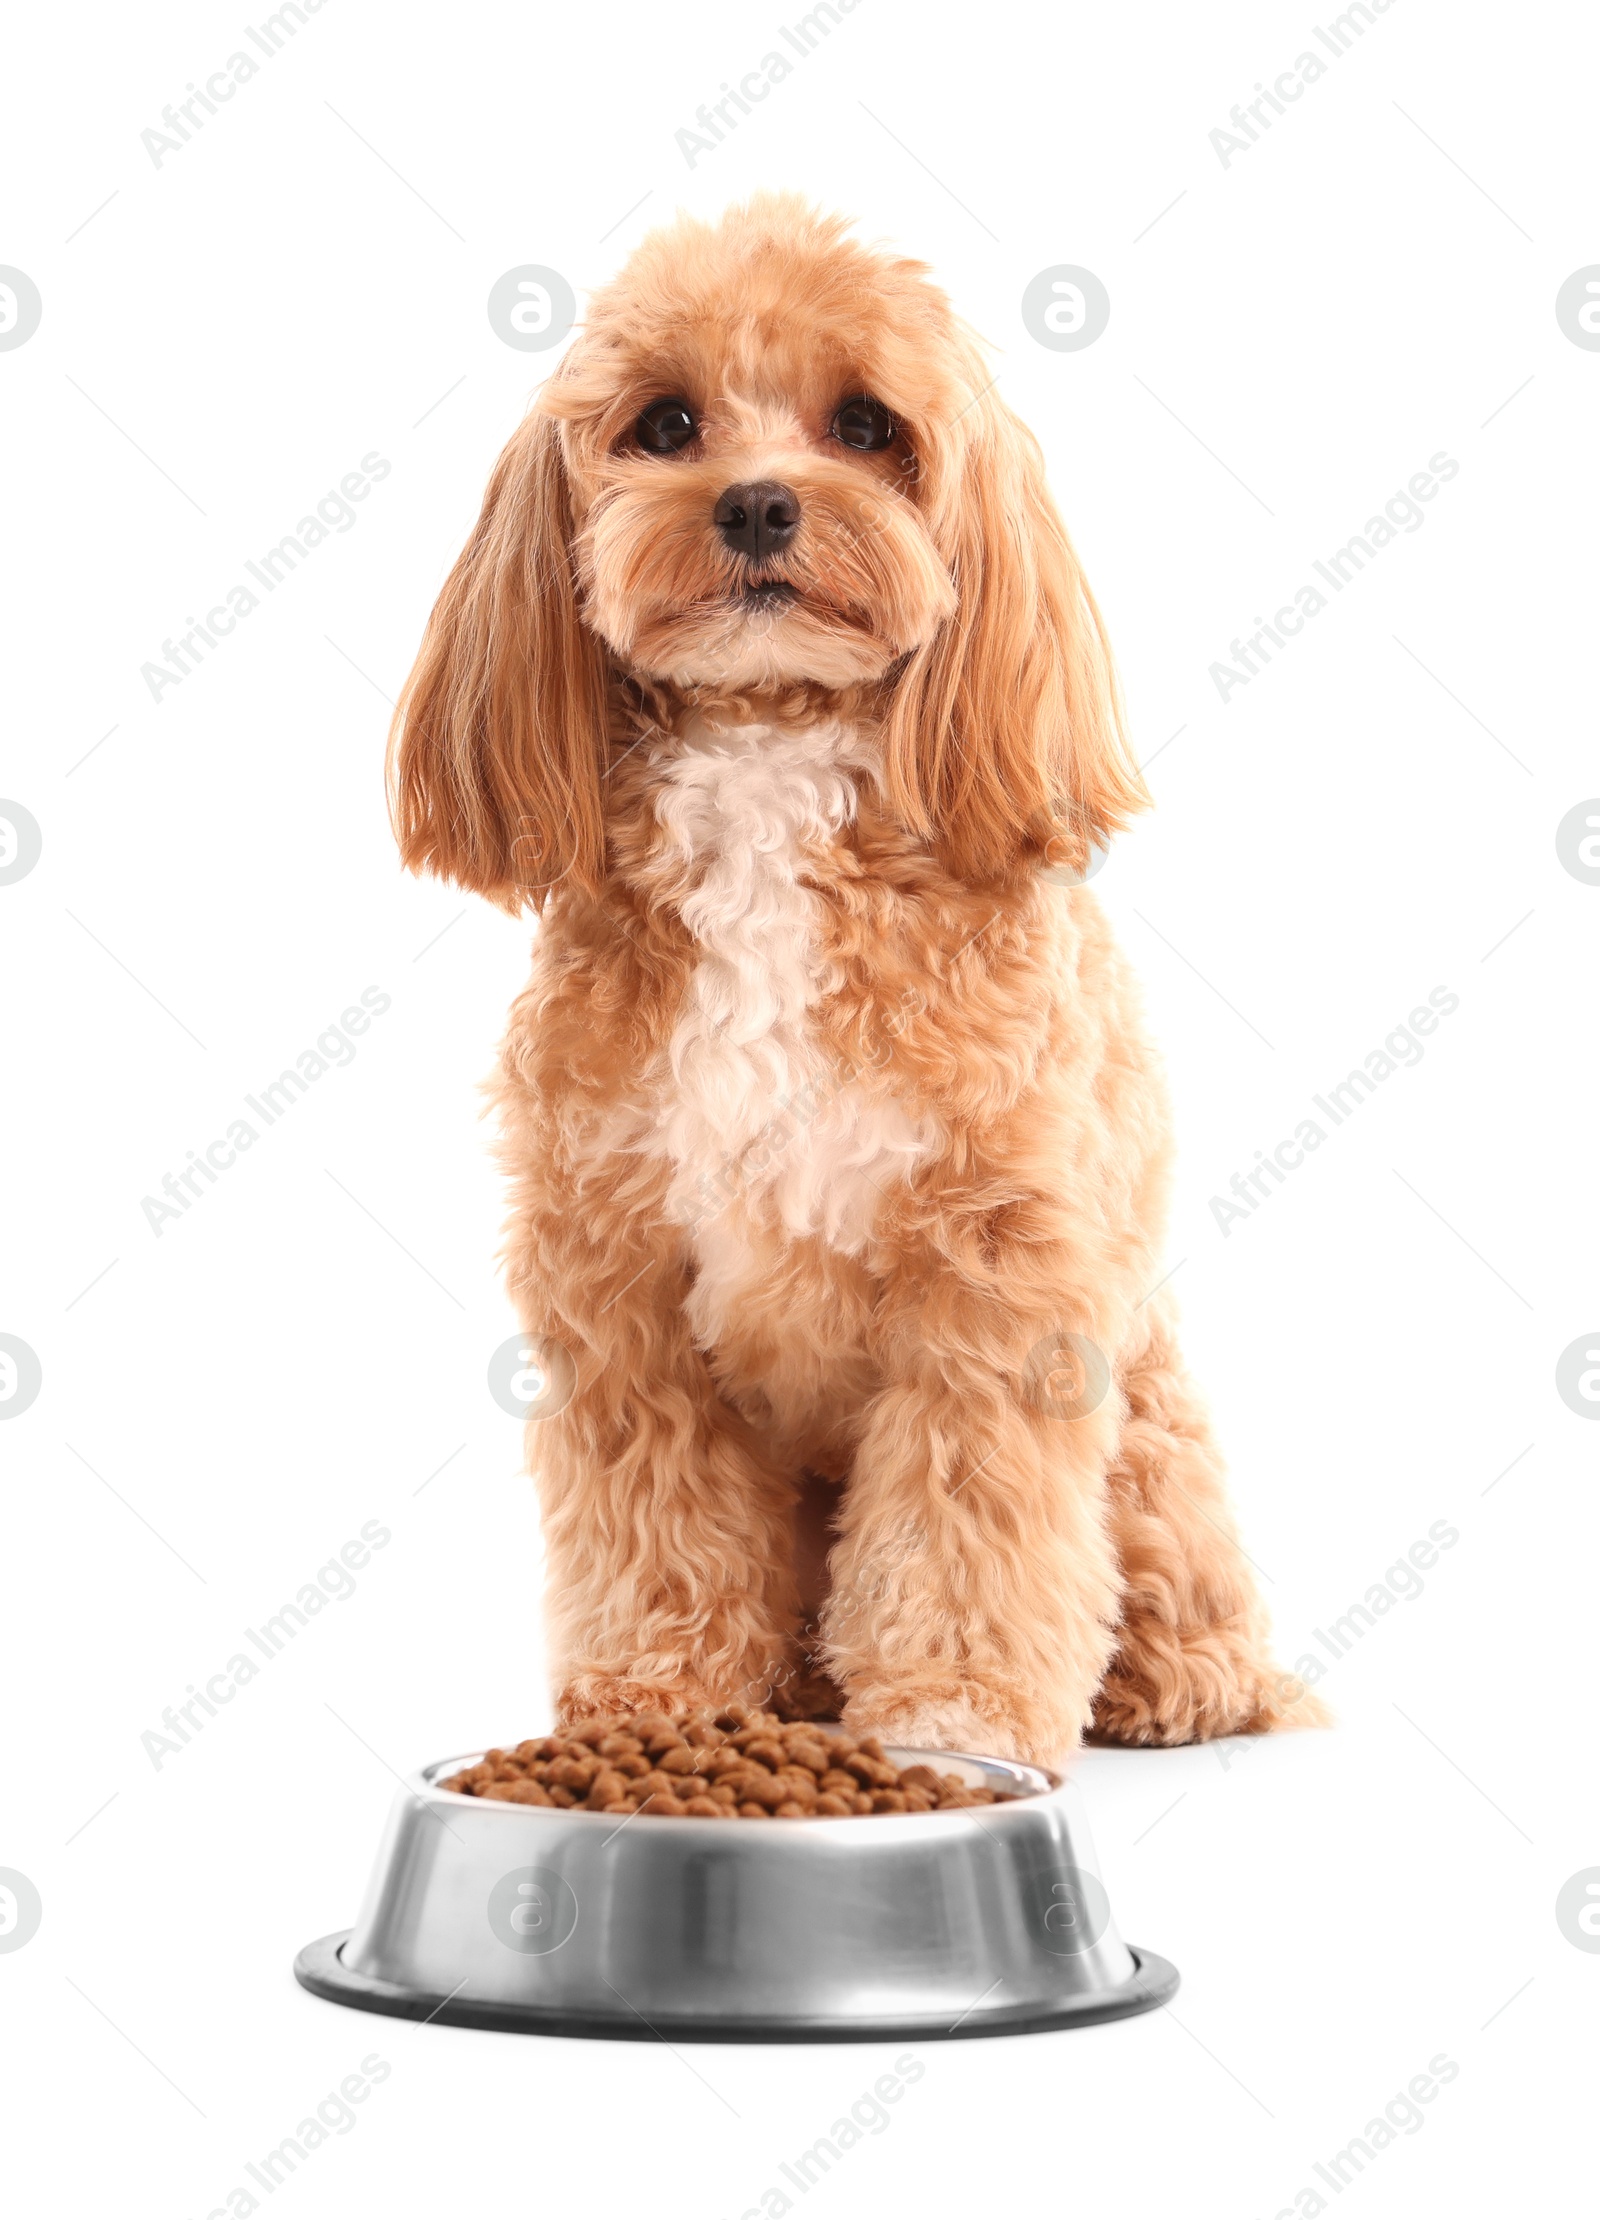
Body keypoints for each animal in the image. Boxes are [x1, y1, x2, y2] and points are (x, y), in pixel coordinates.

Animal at [386, 195, 1313, 1767]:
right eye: (666, 423)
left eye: (869, 425)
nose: (759, 503)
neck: (769, 775)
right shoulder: (620, 1276)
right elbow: (661, 1519)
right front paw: (659, 1694)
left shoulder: (992, 1281)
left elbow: (965, 1518)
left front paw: (951, 1711)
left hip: (1147, 1438)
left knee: (1172, 1596)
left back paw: (1171, 1680)